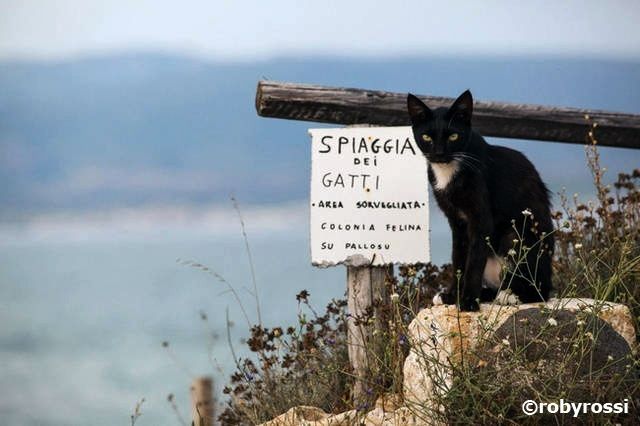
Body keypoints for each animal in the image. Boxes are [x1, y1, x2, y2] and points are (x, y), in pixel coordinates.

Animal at [410, 90, 556, 310]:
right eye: (426, 137)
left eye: (453, 136)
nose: (439, 153)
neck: (449, 170)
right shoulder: (457, 221)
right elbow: (459, 258)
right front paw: (452, 295)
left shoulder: (481, 218)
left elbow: (474, 260)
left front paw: (468, 301)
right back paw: (489, 294)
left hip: (516, 237)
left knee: (539, 291)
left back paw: (509, 296)